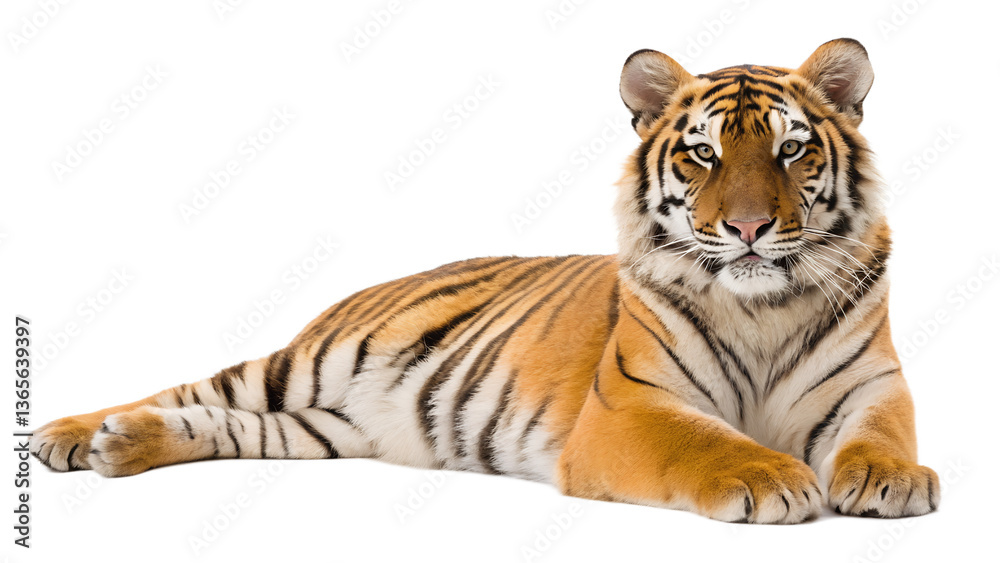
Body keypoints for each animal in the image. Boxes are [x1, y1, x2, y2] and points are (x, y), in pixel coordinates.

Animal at [31, 38, 938, 524]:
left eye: (791, 149)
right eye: (703, 154)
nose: (748, 227)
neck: (761, 307)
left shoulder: (873, 384)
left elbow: (883, 434)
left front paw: (890, 479)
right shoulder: (631, 408)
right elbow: (707, 440)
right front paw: (772, 476)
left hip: (331, 427)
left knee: (232, 425)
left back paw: (121, 445)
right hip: (301, 366)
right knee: (192, 387)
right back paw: (69, 434)